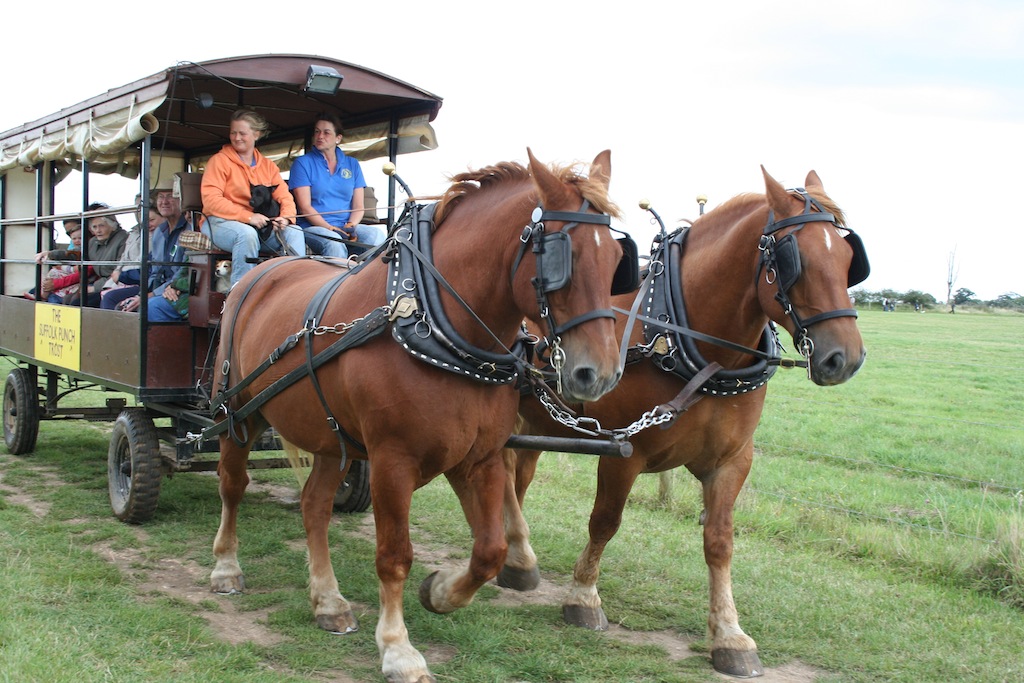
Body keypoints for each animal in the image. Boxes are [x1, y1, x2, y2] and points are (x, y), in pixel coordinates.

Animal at [206, 150, 626, 683]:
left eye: (615, 261)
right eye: (558, 259)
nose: (601, 374)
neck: (434, 323)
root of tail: (263, 269)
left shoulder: (480, 458)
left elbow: (489, 551)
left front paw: (441, 591)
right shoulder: (392, 461)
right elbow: (394, 557)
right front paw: (398, 649)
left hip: (332, 438)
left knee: (314, 506)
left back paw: (328, 600)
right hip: (238, 413)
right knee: (232, 485)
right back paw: (226, 567)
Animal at [499, 169, 868, 679]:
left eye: (850, 258)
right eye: (799, 259)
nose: (845, 358)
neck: (691, 343)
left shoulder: (732, 462)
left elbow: (720, 541)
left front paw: (730, 636)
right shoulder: (623, 451)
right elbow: (605, 522)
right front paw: (584, 597)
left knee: (517, 476)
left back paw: (516, 557)